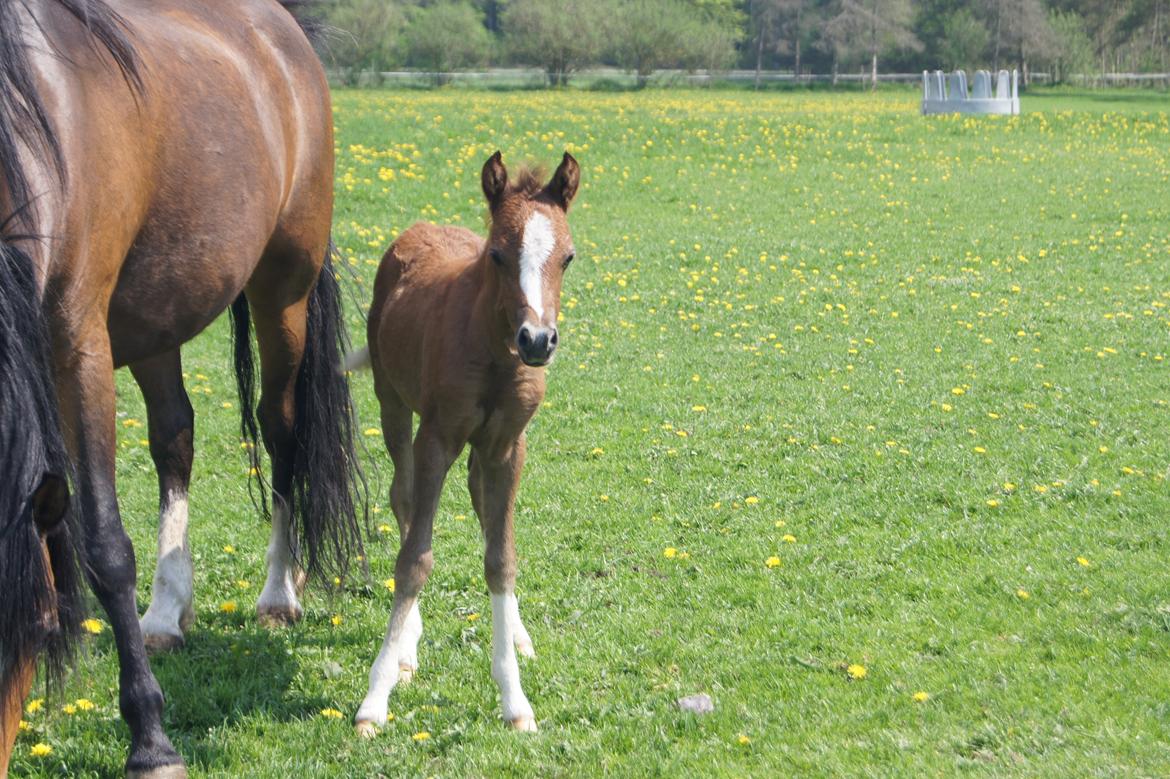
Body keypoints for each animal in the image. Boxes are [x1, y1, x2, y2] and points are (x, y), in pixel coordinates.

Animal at [0, 1, 362, 776]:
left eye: (39, 626)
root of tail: (288, 31)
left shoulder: (78, 343)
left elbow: (105, 545)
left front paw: (150, 738)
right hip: (154, 315)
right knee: (175, 437)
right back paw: (167, 611)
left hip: (282, 291)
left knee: (280, 430)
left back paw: (279, 591)